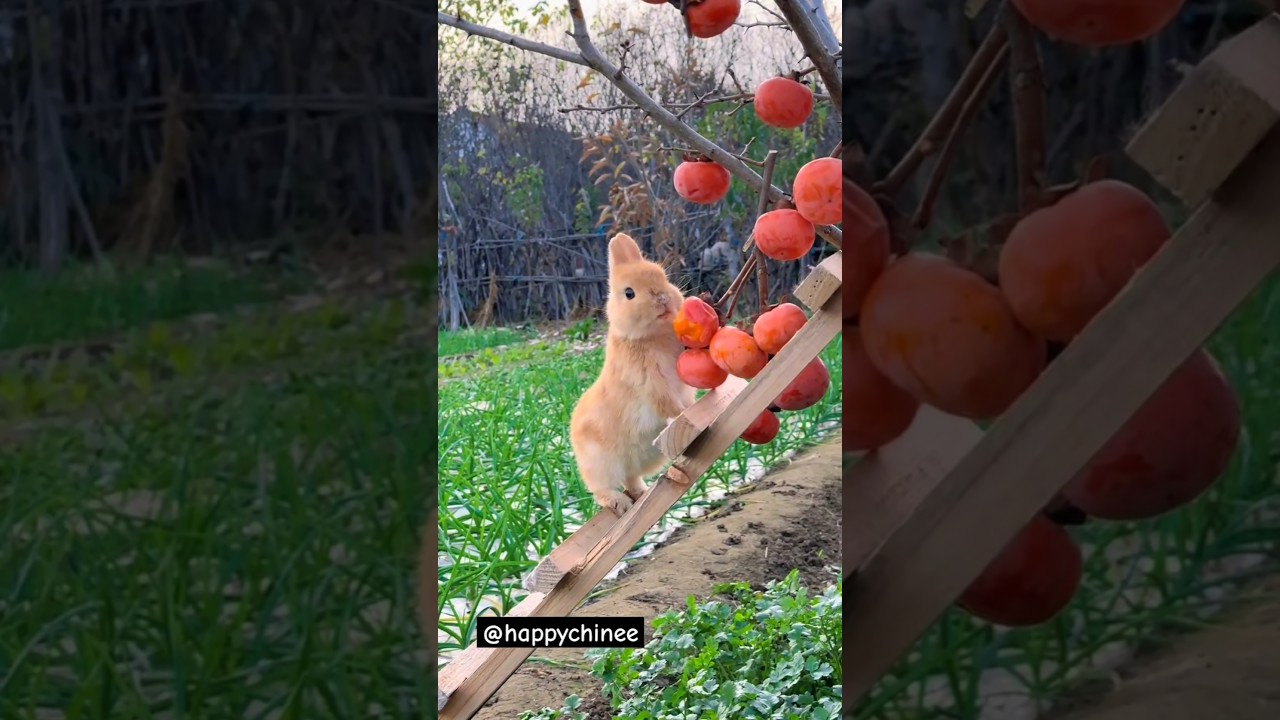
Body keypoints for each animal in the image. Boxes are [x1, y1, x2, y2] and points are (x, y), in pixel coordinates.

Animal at [569, 233, 695, 517]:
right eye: (629, 293)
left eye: (662, 276)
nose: (662, 298)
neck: (651, 336)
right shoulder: (652, 384)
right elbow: (668, 405)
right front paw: (682, 415)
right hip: (601, 465)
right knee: (601, 489)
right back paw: (619, 502)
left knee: (631, 478)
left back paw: (641, 492)